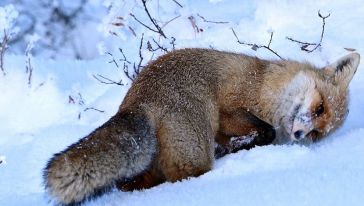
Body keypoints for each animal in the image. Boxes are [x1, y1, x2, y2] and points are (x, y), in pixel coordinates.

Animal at [43, 48, 358, 204]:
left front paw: (239, 146)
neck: (266, 87)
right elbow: (264, 131)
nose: (301, 133)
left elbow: (259, 135)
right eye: (319, 108)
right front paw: (242, 145)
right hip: (197, 150)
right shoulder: (229, 106)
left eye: (318, 133)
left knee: (132, 182)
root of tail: (139, 100)